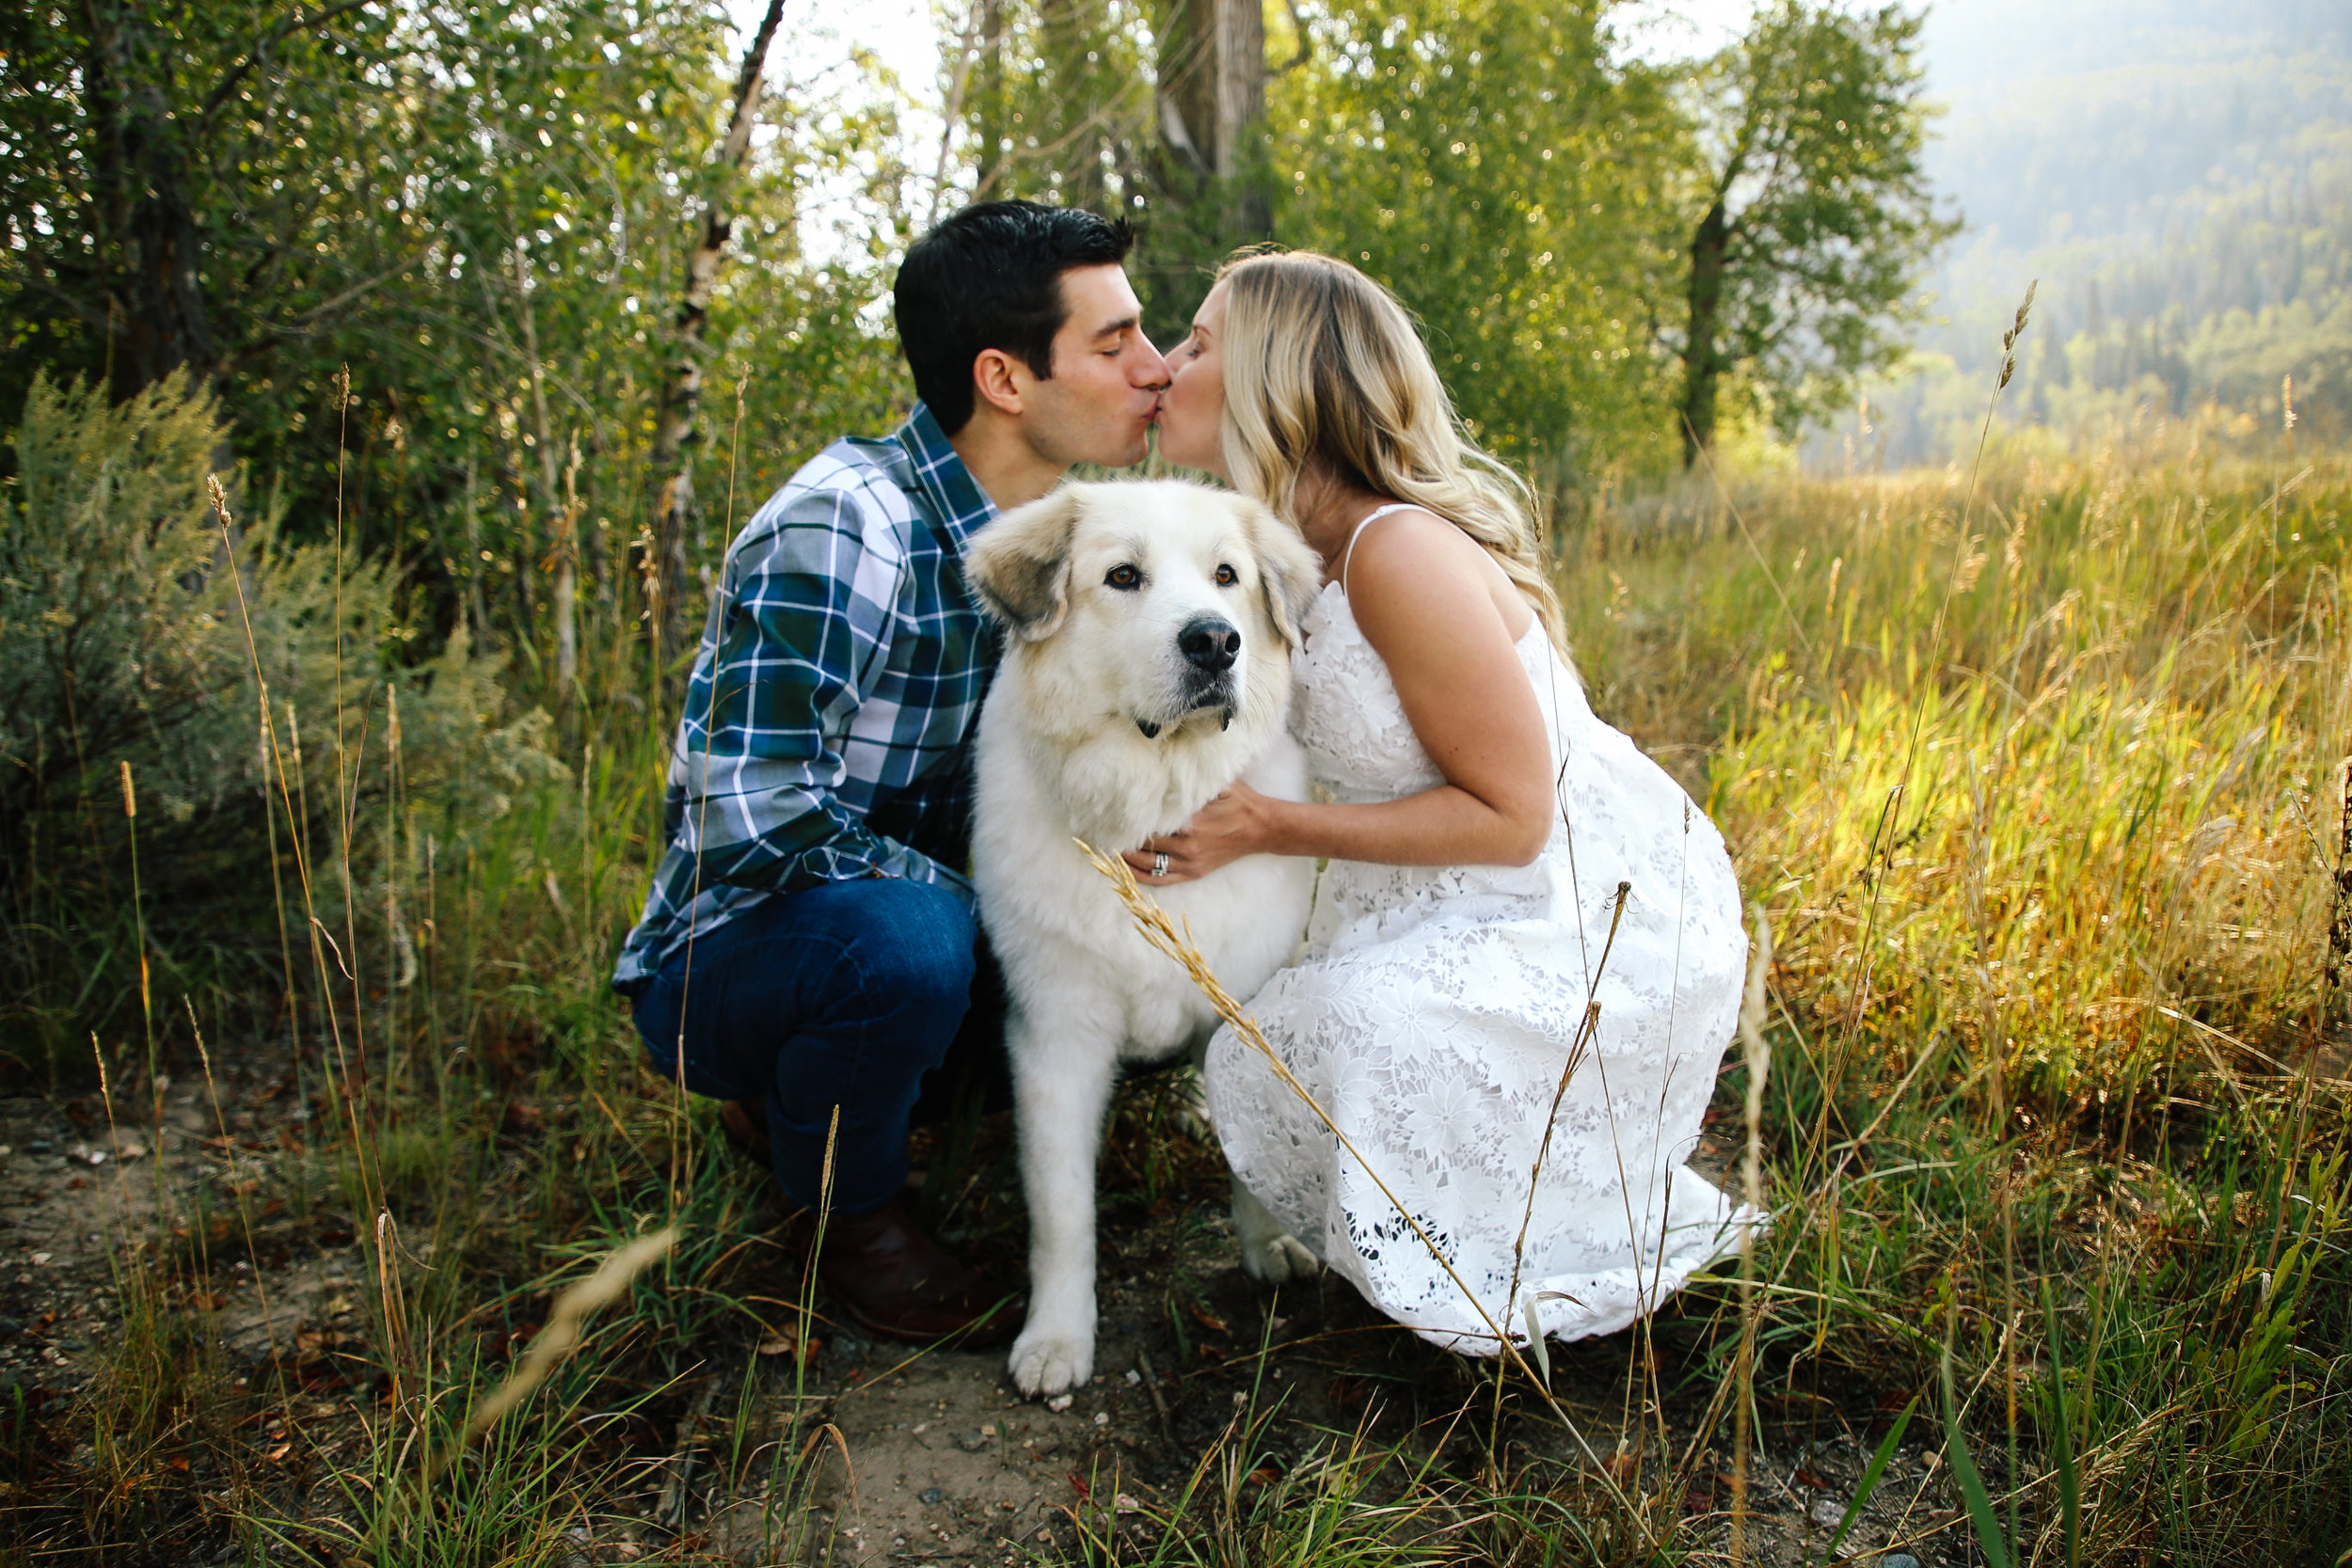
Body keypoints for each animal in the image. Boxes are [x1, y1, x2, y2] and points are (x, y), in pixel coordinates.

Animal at [955, 474, 1327, 1401]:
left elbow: (1250, 1154)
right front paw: (1056, 1337)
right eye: (1123, 576)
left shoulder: (1244, 1007)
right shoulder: (1055, 1039)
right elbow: (1061, 1214)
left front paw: (1267, 1243)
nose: (1216, 641)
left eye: (1227, 576)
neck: (1151, 808)